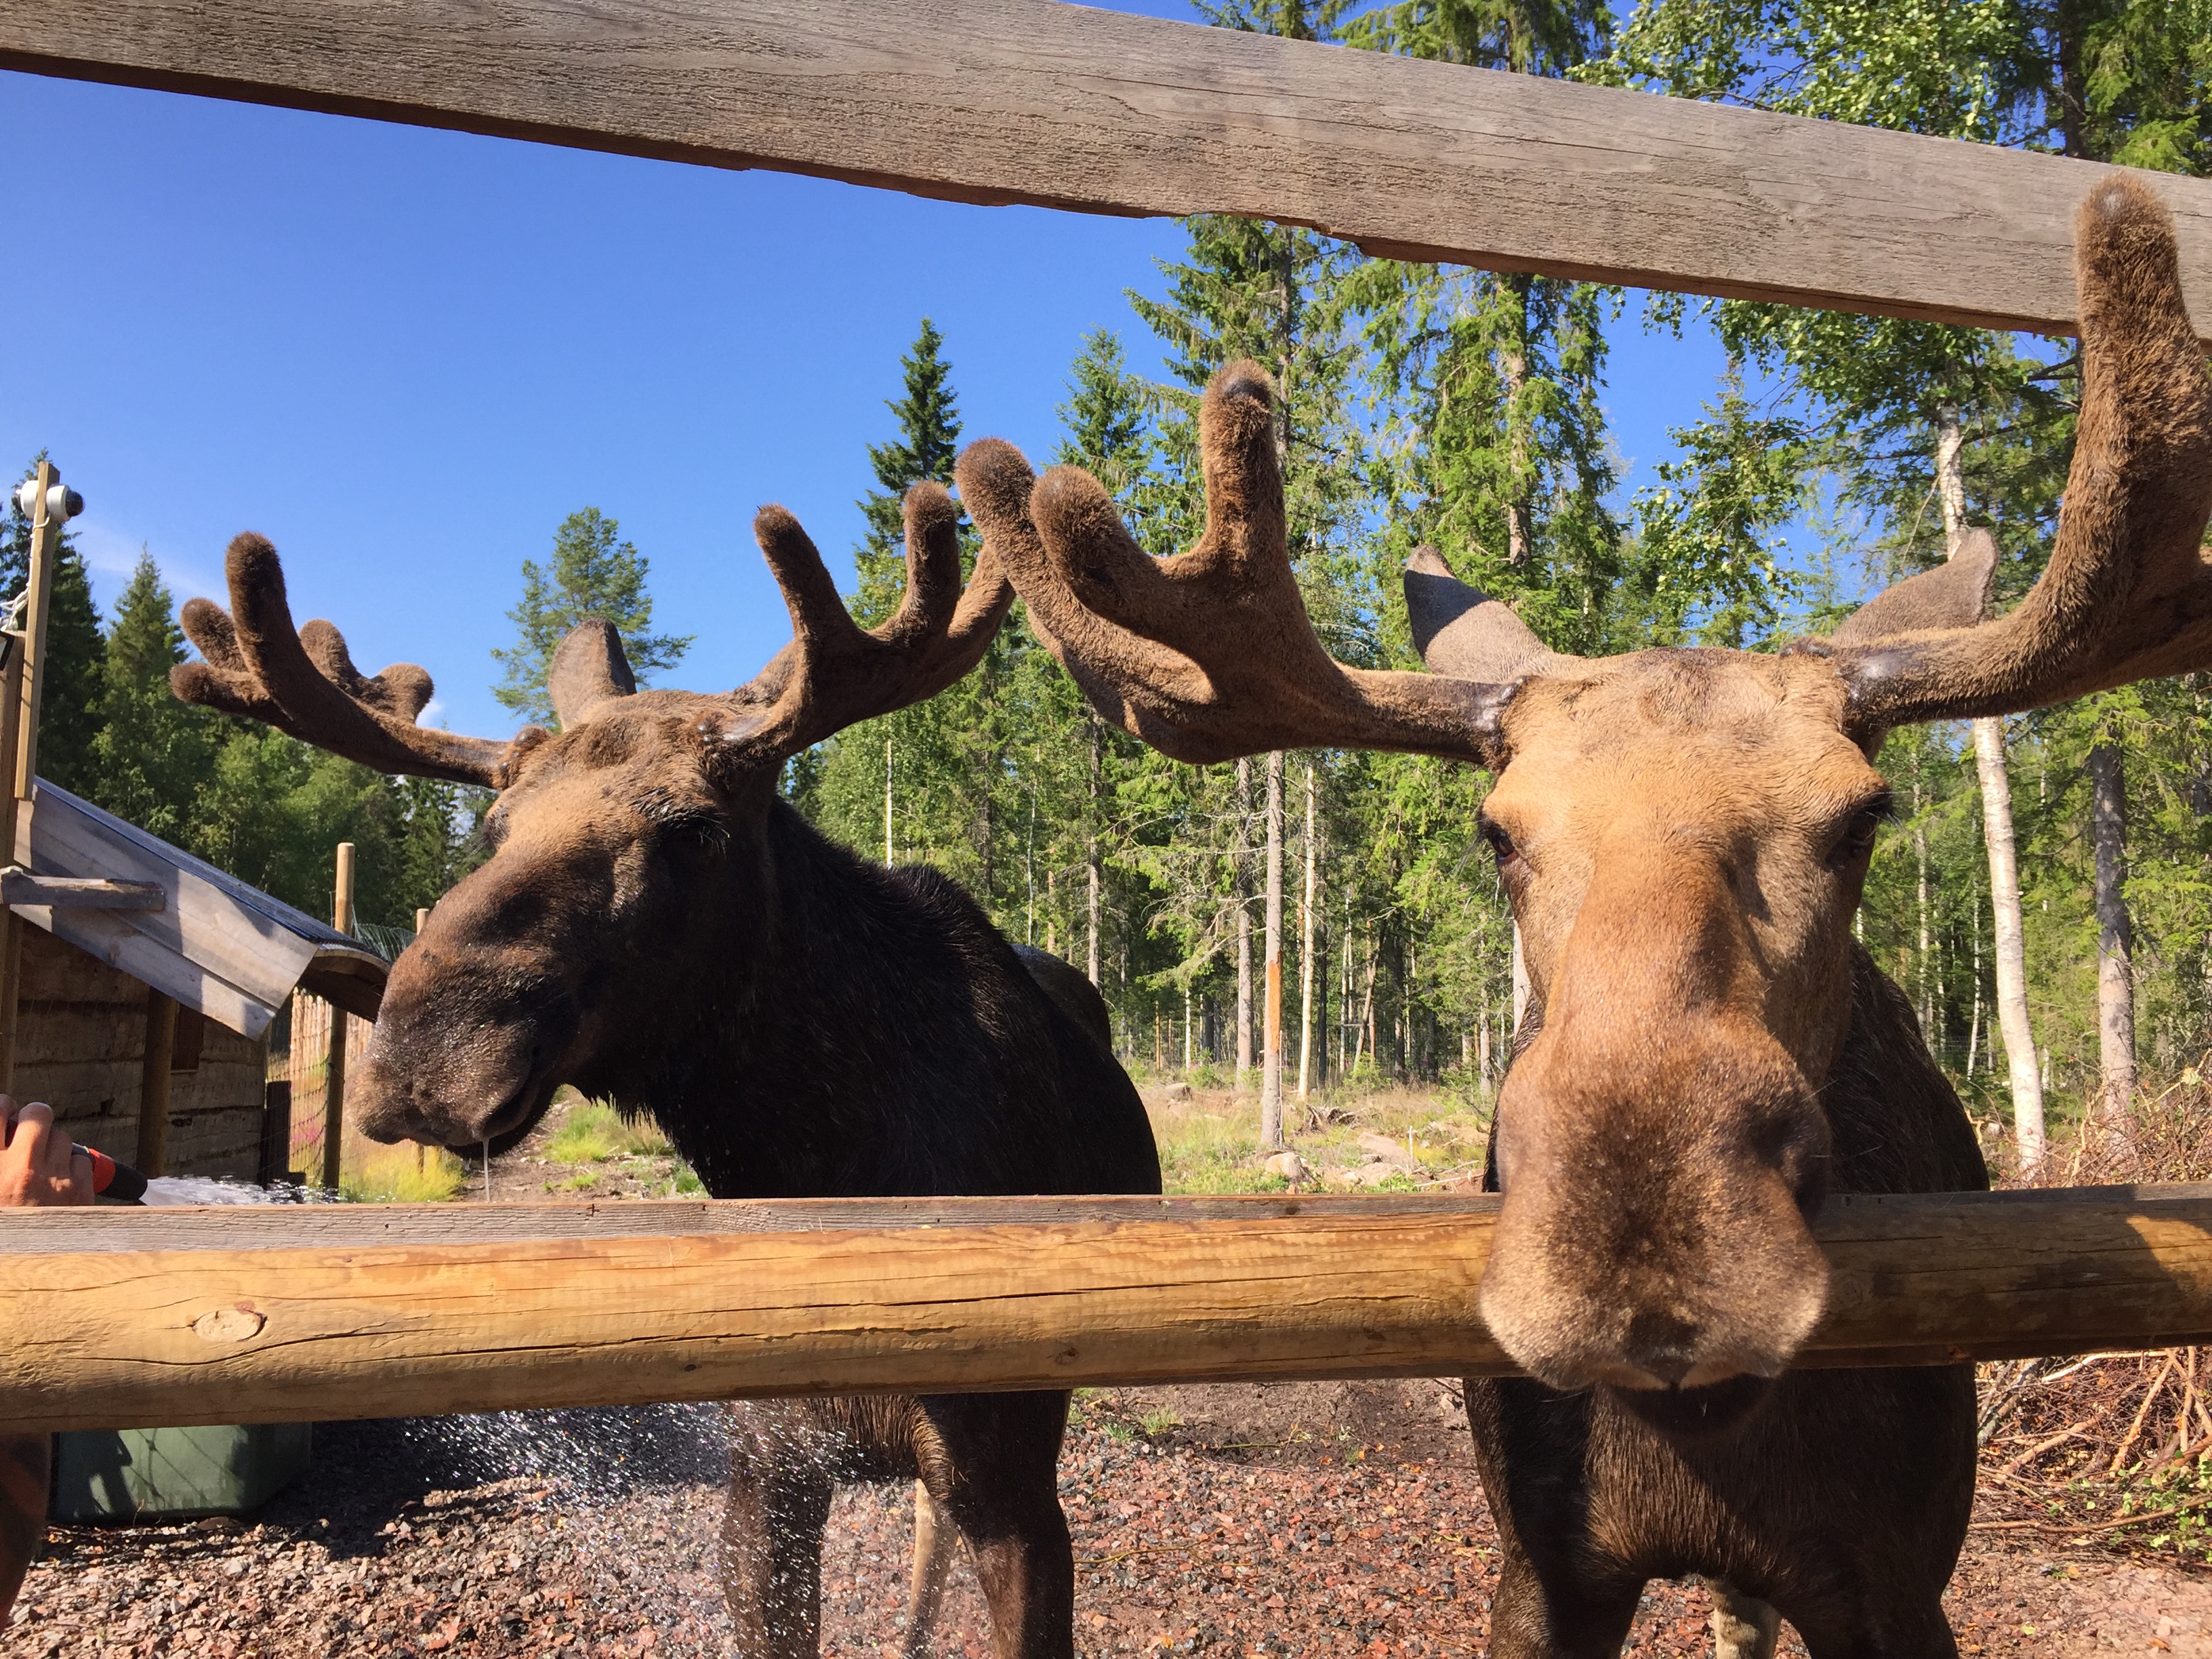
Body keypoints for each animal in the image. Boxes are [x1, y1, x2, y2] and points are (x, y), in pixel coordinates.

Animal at [167, 483, 1162, 1659]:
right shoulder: (771, 1466)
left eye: (695, 827)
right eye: (494, 826)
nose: (424, 1051)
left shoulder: (1013, 1481)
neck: (823, 1165)